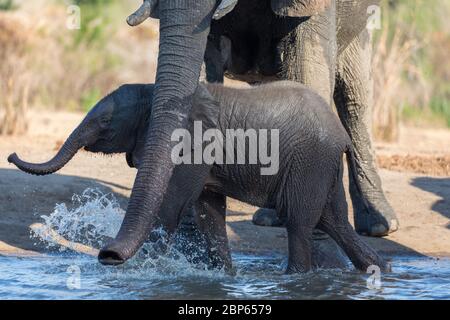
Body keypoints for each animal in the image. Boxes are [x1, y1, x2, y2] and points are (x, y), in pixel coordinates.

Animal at [9, 81, 390, 274]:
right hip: (321, 165)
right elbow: (208, 211)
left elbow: (173, 204)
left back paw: (297, 277)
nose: (11, 155)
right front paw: (222, 277)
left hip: (309, 160)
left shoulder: (191, 148)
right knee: (333, 221)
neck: (155, 93)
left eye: (105, 123)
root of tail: (341, 135)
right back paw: (376, 269)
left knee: (299, 222)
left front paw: (141, 268)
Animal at [97, 0, 398, 264]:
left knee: (354, 96)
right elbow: (203, 62)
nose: (108, 255)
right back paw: (271, 217)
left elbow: (307, 64)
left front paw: (325, 264)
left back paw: (379, 225)